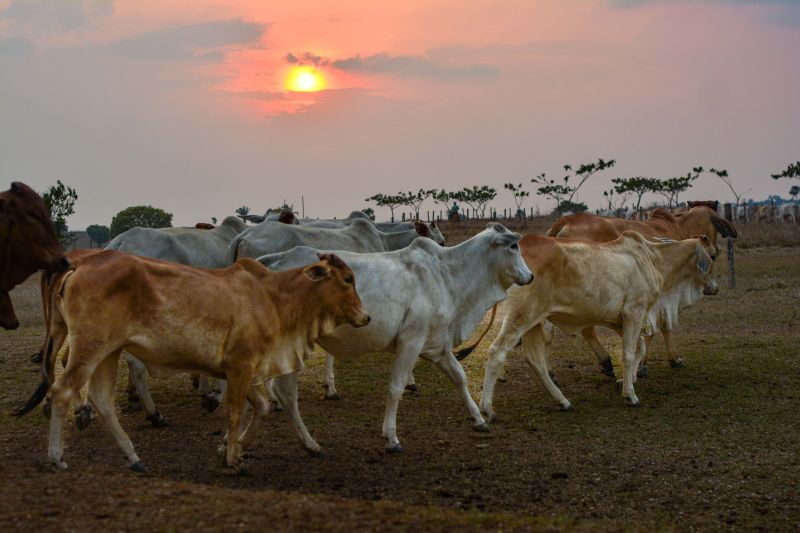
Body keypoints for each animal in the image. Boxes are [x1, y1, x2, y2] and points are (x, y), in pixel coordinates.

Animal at [14, 248, 372, 470]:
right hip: (90, 348)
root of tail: (79, 264)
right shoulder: (241, 365)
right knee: (62, 391)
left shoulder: (246, 369)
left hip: (108, 351)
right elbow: (234, 412)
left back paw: (133, 457)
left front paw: (232, 449)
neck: (273, 297)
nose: (366, 317)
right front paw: (233, 459)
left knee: (102, 400)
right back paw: (58, 458)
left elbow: (261, 407)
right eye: (347, 279)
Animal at [256, 222, 532, 450]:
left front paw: (478, 418)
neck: (446, 274)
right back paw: (309, 443)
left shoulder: (437, 345)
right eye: (514, 245)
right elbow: (396, 387)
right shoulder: (411, 341)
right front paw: (391, 437)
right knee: (286, 393)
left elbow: (459, 377)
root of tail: (273, 261)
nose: (530, 276)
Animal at [478, 229, 716, 416]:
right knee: (497, 352)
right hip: (520, 316)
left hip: (534, 321)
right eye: (712, 256)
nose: (715, 287)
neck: (652, 259)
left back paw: (563, 401)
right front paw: (630, 395)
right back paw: (486, 409)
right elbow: (629, 353)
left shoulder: (618, 319)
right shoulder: (635, 312)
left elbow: (638, 348)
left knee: (535, 360)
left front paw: (626, 382)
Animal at [548, 205, 736, 374]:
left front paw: (671, 359)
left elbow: (663, 326)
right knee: (587, 329)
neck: (679, 229)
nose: (717, 250)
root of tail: (565, 220)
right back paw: (606, 362)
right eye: (712, 256)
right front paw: (645, 363)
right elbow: (657, 326)